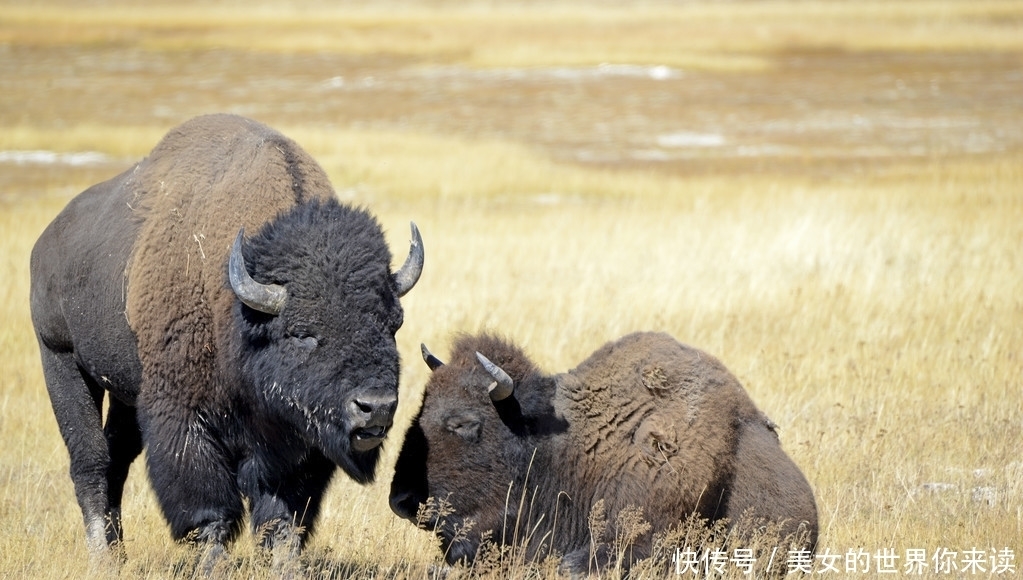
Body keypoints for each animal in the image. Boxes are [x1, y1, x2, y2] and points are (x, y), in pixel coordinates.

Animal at [30, 114, 423, 568]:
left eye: (393, 324)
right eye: (303, 333)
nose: (375, 407)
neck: (241, 312)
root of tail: (45, 243)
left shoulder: (295, 444)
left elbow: (283, 513)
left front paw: (285, 564)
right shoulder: (183, 416)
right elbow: (209, 507)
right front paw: (211, 562)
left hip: (126, 392)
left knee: (116, 458)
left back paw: (118, 553)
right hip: (61, 361)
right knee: (91, 460)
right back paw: (103, 557)